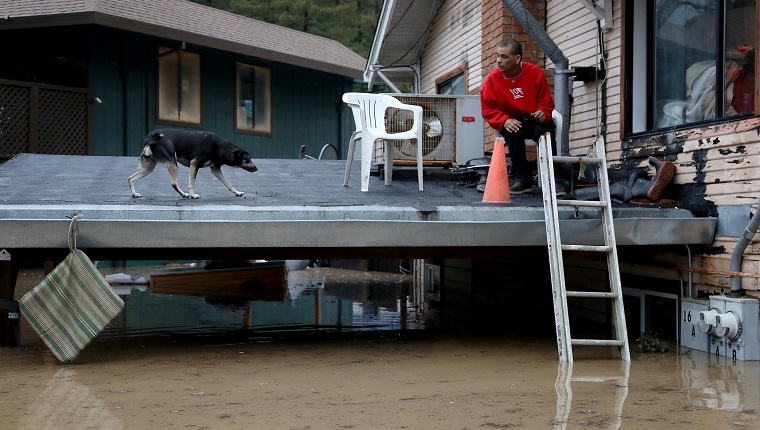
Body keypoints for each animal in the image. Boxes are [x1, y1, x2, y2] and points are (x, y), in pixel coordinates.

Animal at [124, 128, 255, 199]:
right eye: (247, 160)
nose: (256, 168)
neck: (220, 147)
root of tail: (149, 138)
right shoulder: (194, 164)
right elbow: (192, 183)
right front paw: (193, 195)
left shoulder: (216, 169)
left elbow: (228, 184)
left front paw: (237, 192)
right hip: (173, 163)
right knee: (173, 183)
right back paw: (184, 194)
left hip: (148, 168)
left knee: (131, 178)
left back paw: (134, 194)